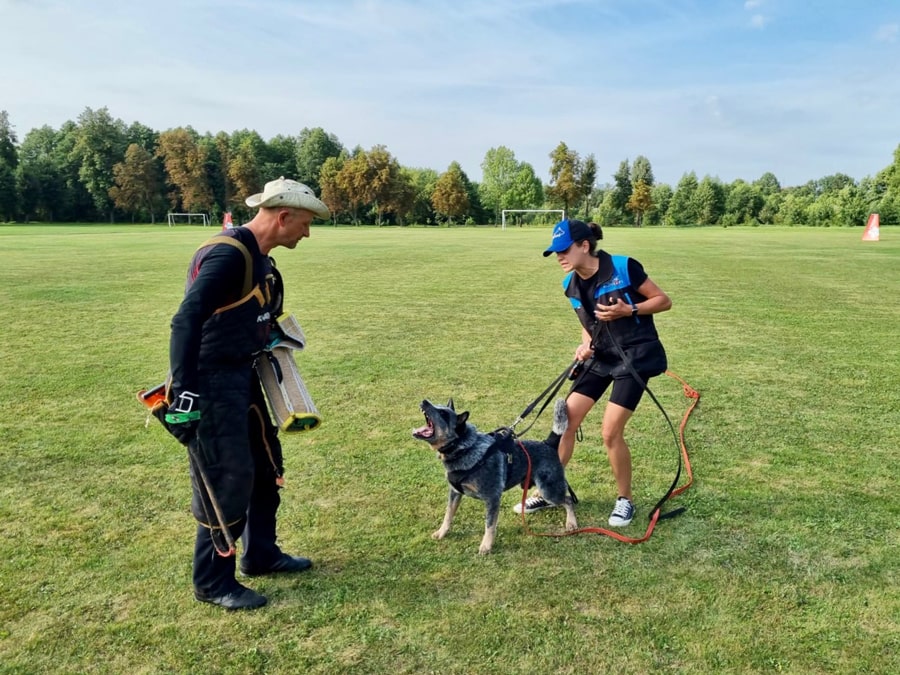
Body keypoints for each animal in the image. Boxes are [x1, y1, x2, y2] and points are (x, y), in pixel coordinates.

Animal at [414, 398, 576, 552]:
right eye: (438, 405)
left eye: (443, 414)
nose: (424, 401)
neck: (466, 449)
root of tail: (548, 444)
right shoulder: (455, 493)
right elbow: (448, 515)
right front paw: (441, 532)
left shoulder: (492, 498)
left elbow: (490, 525)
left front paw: (486, 546)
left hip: (549, 490)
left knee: (568, 500)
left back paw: (571, 523)